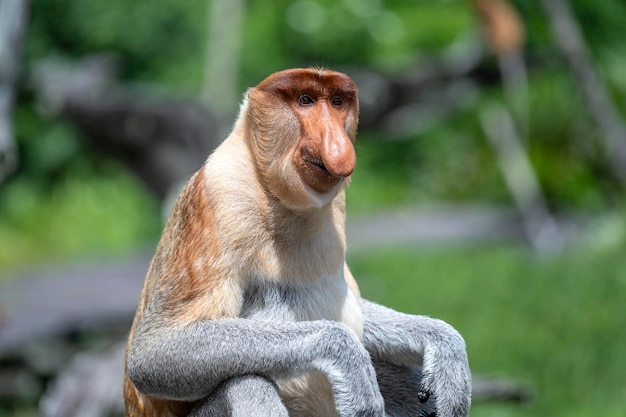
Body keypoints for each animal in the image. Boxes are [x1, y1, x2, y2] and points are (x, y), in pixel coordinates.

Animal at [124, 68, 470, 416]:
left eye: (337, 102)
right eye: (305, 100)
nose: (337, 145)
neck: (283, 203)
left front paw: (445, 345)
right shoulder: (222, 196)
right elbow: (153, 353)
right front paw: (346, 356)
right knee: (246, 382)